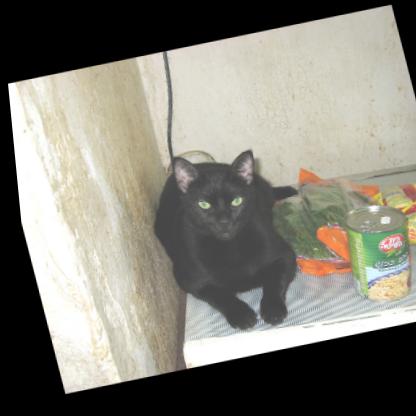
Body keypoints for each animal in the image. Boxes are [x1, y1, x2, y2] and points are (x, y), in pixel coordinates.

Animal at [154, 150, 297, 329]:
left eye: (237, 201)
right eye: (204, 204)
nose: (224, 222)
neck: (229, 246)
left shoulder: (284, 255)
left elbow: (274, 282)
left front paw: (273, 309)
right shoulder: (189, 279)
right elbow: (220, 295)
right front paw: (241, 314)